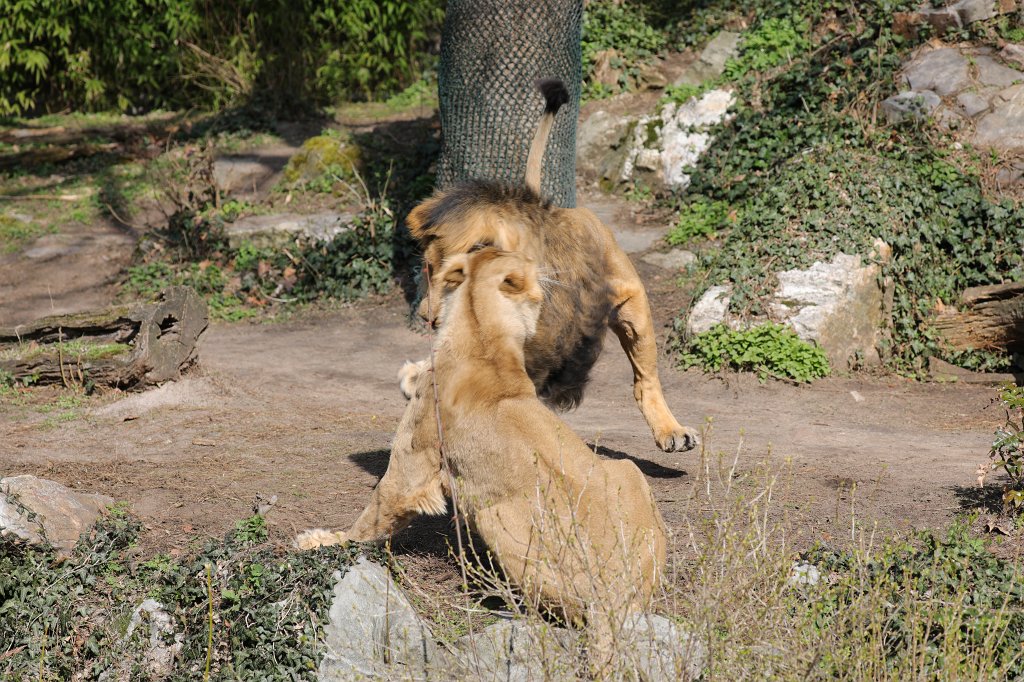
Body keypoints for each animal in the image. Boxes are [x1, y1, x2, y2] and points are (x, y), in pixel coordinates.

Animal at [298, 249, 667, 668]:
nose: (547, 270)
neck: (483, 338)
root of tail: (615, 593)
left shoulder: (412, 467)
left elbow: (369, 520)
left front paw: (319, 541)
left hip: (494, 515)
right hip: (627, 470)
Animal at [407, 79, 698, 453]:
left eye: (449, 278)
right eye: (428, 270)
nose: (427, 319)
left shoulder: (627, 297)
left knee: (643, 379)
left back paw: (670, 430)